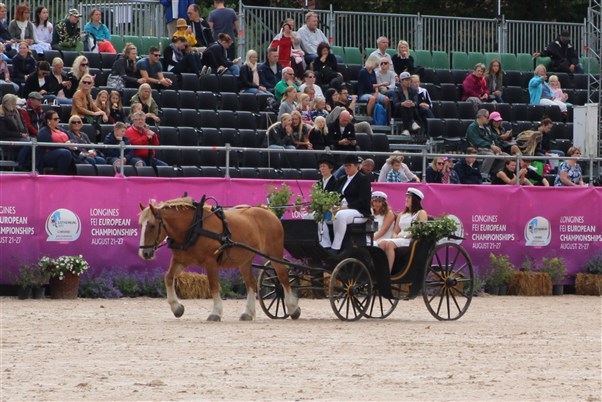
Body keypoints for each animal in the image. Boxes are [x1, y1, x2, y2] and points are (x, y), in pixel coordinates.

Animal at [137, 196, 298, 322]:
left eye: (152, 225)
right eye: (141, 225)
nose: (144, 253)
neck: (194, 227)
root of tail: (267, 211)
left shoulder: (211, 262)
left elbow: (214, 286)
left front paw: (215, 313)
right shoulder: (180, 260)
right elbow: (168, 278)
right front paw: (177, 308)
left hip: (274, 253)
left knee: (283, 277)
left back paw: (293, 308)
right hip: (244, 261)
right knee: (251, 283)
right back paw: (248, 312)